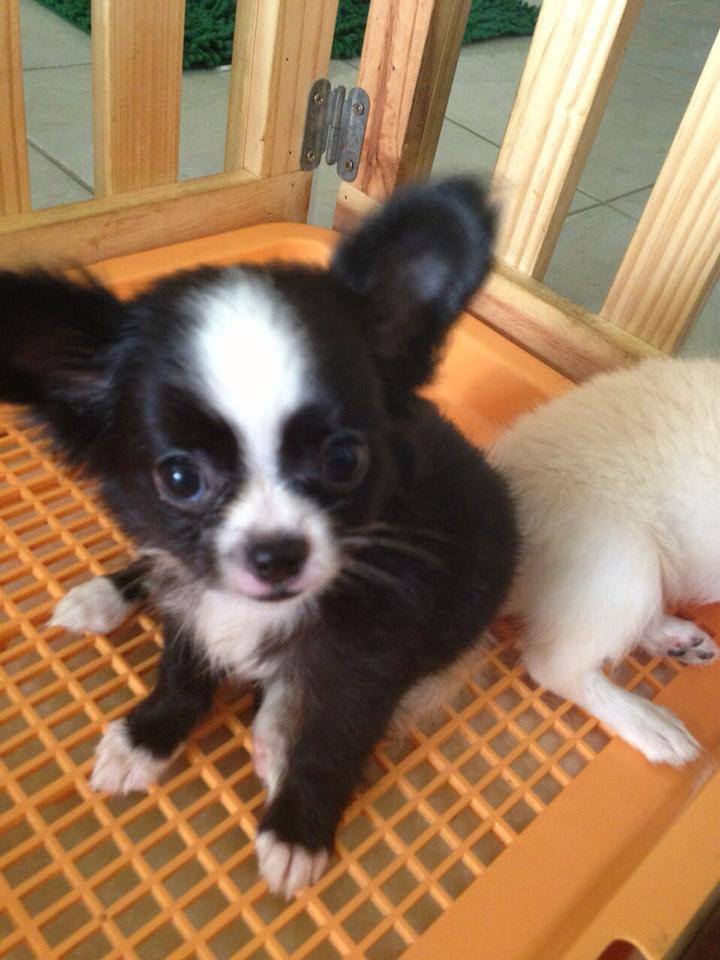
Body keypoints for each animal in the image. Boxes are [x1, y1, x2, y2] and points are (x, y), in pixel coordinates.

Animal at [0, 179, 517, 897]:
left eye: (343, 461)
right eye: (180, 476)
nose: (276, 556)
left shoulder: (369, 653)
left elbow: (333, 738)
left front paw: (299, 830)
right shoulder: (194, 599)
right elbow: (182, 671)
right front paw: (147, 736)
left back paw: (275, 731)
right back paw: (104, 596)